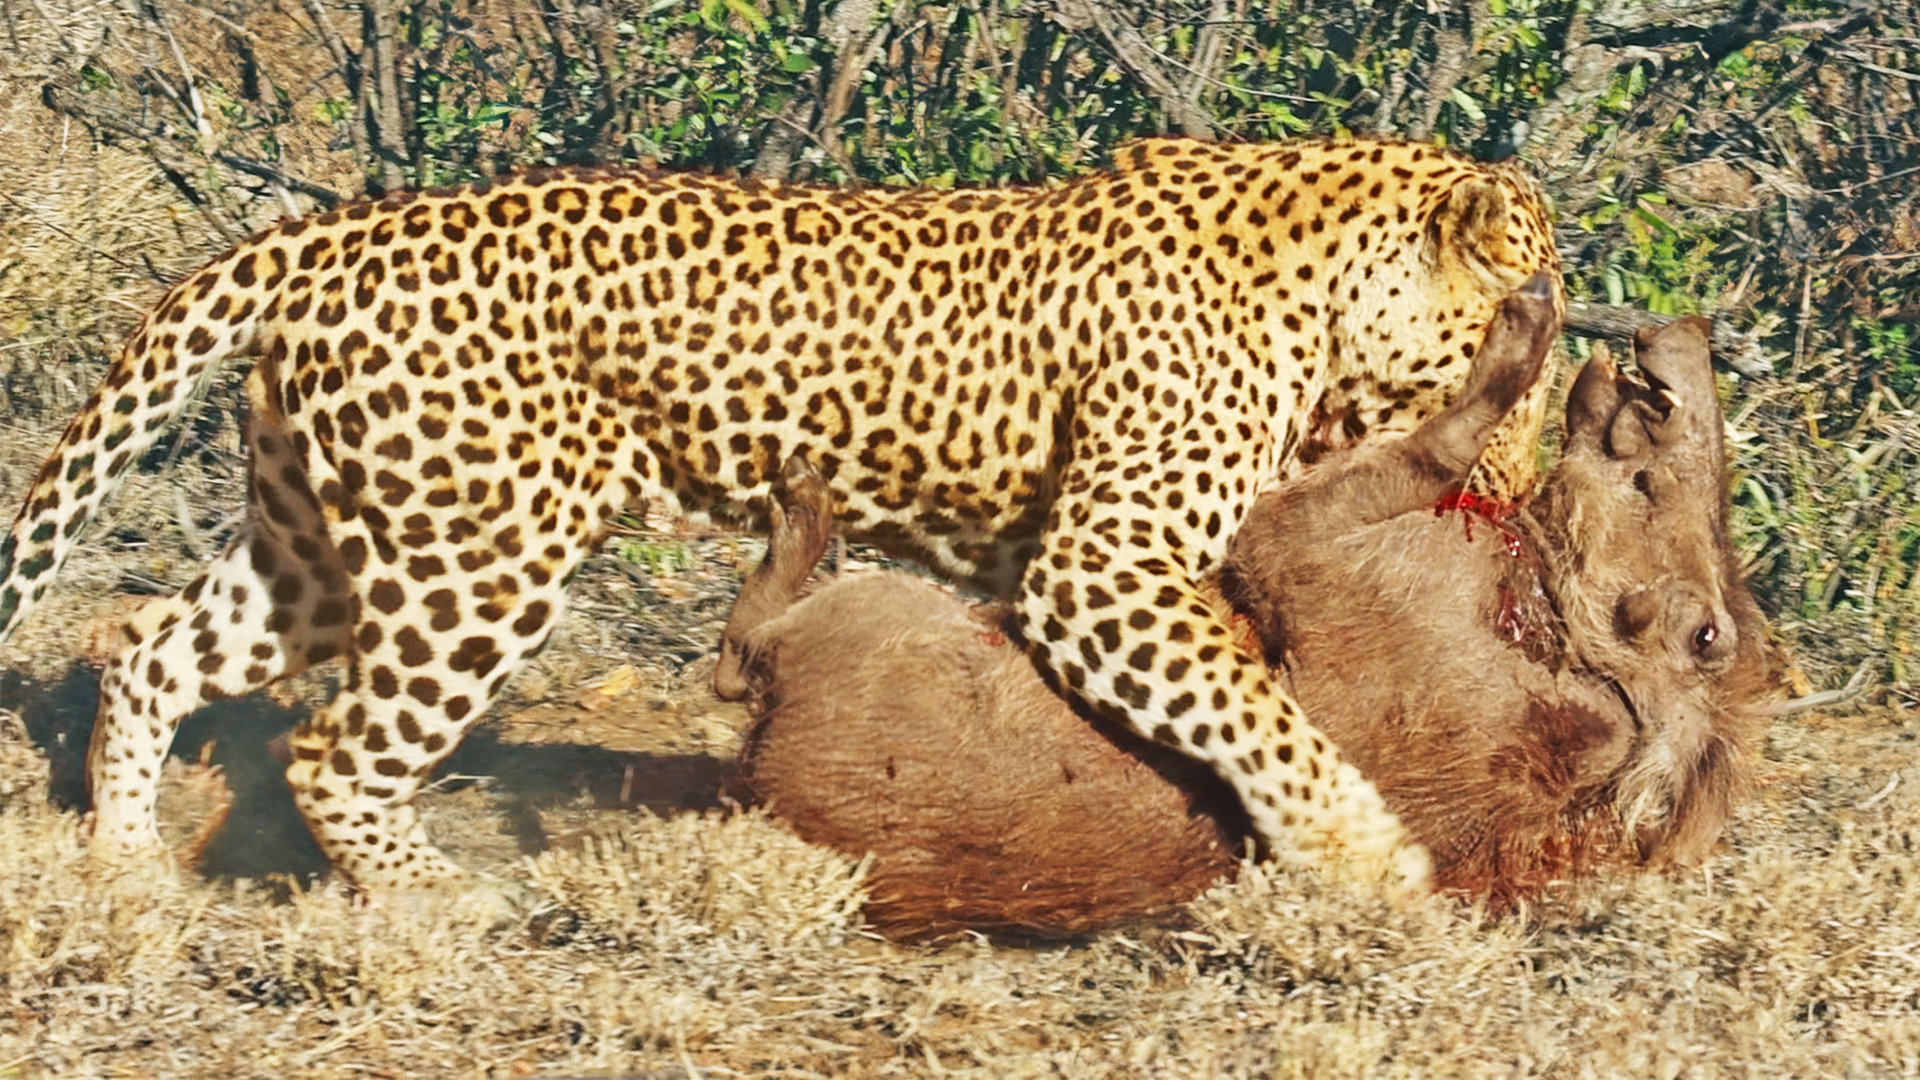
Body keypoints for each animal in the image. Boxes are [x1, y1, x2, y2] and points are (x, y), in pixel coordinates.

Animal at [0, 137, 1561, 896]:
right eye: (1537, 358)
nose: (1527, 483)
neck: (1327, 291)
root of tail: (336, 226)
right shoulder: (1098, 566)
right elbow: (1262, 716)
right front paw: (1368, 864)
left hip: (324, 553)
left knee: (143, 651)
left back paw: (124, 870)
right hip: (476, 562)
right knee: (333, 755)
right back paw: (449, 906)